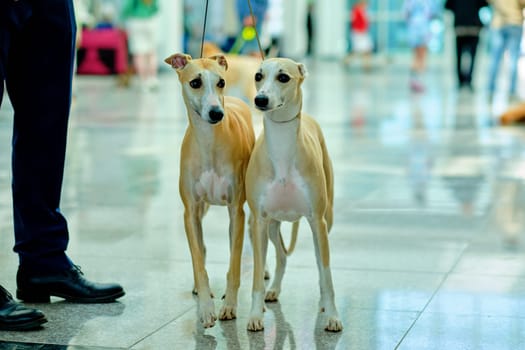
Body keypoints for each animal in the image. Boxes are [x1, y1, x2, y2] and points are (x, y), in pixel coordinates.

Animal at [164, 52, 254, 328]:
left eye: (221, 82)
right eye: (195, 82)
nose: (217, 113)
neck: (209, 142)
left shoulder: (236, 210)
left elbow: (234, 263)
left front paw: (230, 305)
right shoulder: (190, 211)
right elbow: (198, 260)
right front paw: (205, 308)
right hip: (203, 208)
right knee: (202, 249)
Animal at [244, 58, 342, 334]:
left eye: (283, 77)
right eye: (258, 75)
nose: (260, 99)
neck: (282, 149)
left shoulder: (317, 221)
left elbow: (326, 274)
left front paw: (333, 316)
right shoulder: (259, 221)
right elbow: (257, 275)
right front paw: (255, 314)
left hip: (326, 221)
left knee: (318, 263)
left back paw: (321, 304)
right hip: (269, 226)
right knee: (281, 256)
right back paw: (273, 289)